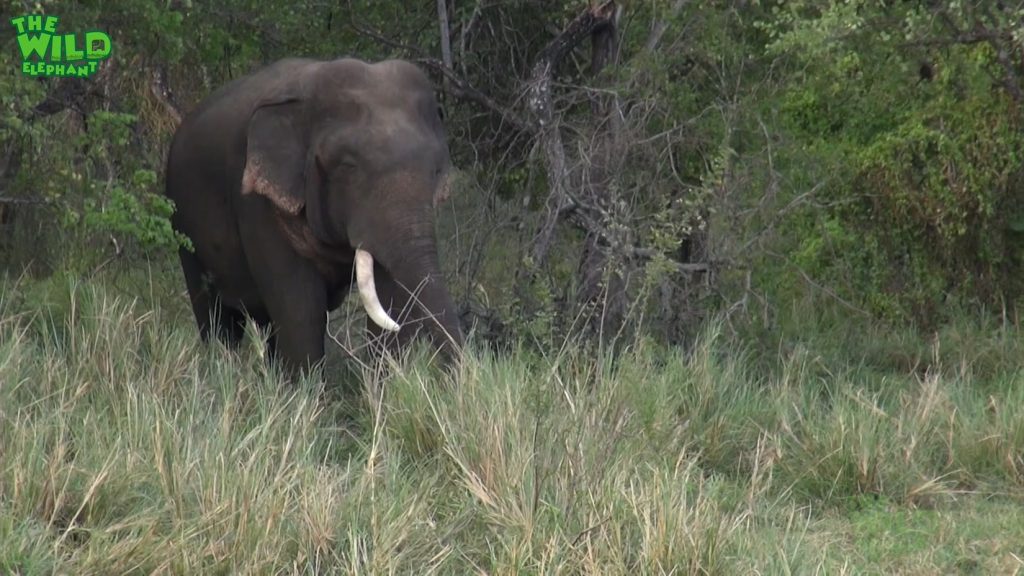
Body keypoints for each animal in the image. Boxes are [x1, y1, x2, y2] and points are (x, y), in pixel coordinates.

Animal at [164, 57, 464, 373]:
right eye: (348, 165)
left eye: (436, 170)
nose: (463, 372)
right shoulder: (256, 204)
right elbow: (301, 309)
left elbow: (390, 302)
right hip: (182, 225)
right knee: (215, 317)